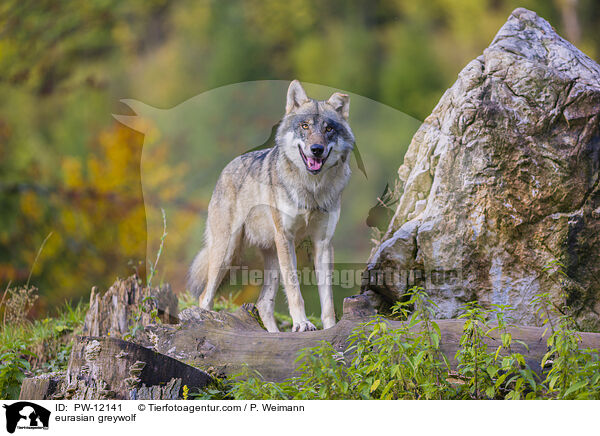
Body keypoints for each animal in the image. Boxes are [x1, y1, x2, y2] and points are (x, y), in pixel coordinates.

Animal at [190, 80, 354, 332]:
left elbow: (327, 299)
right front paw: (302, 323)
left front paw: (329, 329)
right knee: (204, 297)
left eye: (328, 129)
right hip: (228, 252)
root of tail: (226, 167)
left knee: (263, 305)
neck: (312, 189)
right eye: (305, 126)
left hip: (273, 258)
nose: (316, 149)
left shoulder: (323, 242)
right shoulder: (285, 237)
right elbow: (295, 290)